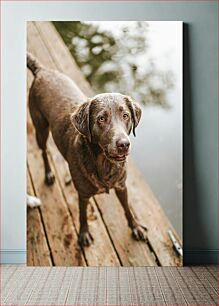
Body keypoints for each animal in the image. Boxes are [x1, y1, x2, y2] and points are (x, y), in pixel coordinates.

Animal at [27, 52, 147, 246]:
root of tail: (42, 70)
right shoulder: (82, 194)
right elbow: (82, 215)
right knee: (44, 151)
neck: (104, 163)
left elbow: (127, 209)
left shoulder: (122, 186)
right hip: (40, 128)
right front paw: (84, 234)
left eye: (126, 115)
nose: (123, 144)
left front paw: (135, 227)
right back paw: (49, 174)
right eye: (101, 119)